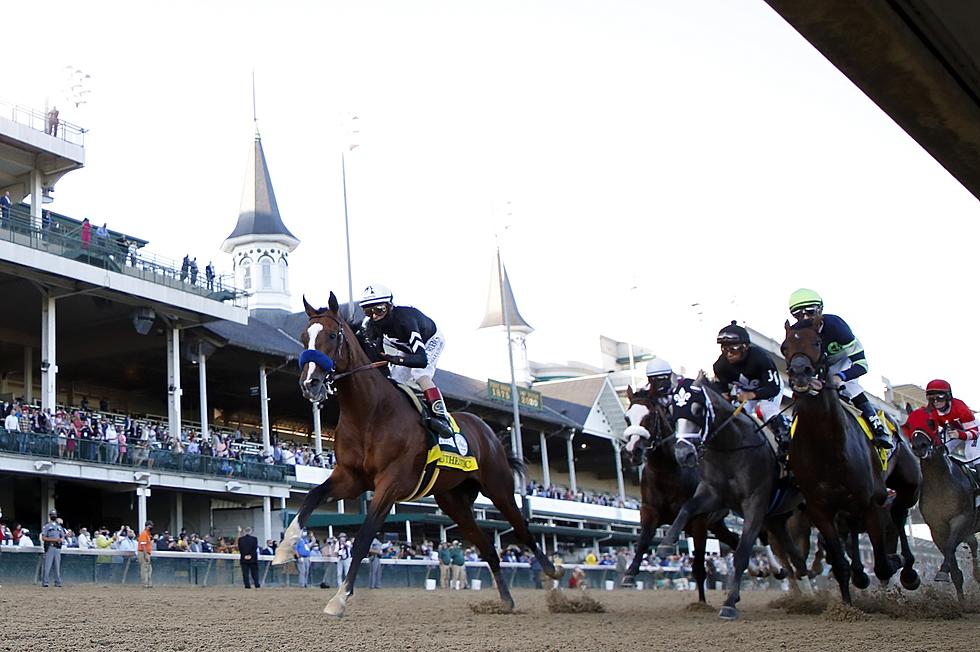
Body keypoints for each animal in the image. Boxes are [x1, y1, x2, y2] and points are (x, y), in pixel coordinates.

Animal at [276, 296, 564, 616]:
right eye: (304, 337)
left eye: (332, 335)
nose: (310, 383)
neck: (371, 413)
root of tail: (487, 431)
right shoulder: (350, 478)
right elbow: (312, 498)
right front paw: (284, 549)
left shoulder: (390, 484)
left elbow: (363, 537)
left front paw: (339, 598)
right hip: (454, 501)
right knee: (488, 547)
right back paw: (506, 600)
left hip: (498, 486)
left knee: (522, 528)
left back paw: (552, 571)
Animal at [620, 384, 736, 604]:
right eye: (627, 418)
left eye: (650, 416)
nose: (632, 451)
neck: (667, 470)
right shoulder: (649, 510)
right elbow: (643, 541)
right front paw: (629, 574)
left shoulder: (698, 520)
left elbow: (699, 567)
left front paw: (702, 604)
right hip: (717, 524)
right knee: (735, 538)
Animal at [656, 374, 808, 620]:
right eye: (672, 411)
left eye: (697, 409)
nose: (683, 454)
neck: (732, 446)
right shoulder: (712, 494)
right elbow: (687, 508)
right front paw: (666, 544)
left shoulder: (755, 501)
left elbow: (742, 551)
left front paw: (729, 603)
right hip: (779, 514)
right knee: (789, 546)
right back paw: (801, 576)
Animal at [780, 318, 912, 604]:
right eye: (785, 346)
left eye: (817, 342)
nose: (799, 373)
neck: (827, 445)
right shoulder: (820, 510)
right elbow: (840, 564)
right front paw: (847, 607)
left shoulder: (872, 503)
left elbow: (882, 564)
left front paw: (892, 564)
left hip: (907, 484)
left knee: (899, 514)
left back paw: (908, 571)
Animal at [904, 408, 980, 600]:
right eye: (908, 424)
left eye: (930, 422)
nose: (919, 446)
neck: (941, 483)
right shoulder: (936, 528)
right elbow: (954, 568)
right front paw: (961, 602)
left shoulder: (960, 519)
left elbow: (950, 547)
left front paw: (942, 572)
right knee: (973, 543)